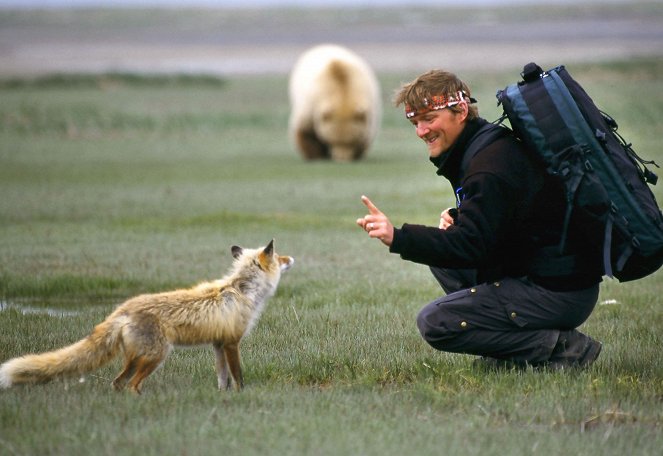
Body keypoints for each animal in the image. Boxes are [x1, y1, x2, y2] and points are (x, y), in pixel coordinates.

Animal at [0, 240, 294, 394]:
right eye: (279, 257)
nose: (292, 258)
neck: (243, 291)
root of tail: (123, 308)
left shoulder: (218, 344)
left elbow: (223, 378)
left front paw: (224, 396)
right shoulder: (232, 342)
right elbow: (238, 376)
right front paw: (242, 394)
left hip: (136, 358)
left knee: (117, 382)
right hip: (156, 356)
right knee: (131, 384)